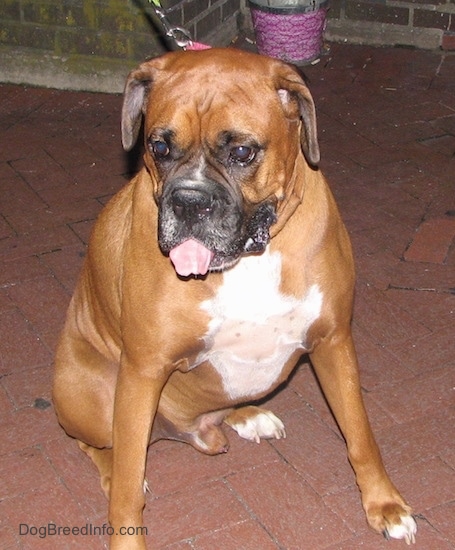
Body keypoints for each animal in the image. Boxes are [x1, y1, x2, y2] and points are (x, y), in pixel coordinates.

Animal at [52, 49, 416, 548]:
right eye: (158, 147)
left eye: (242, 152)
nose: (189, 202)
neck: (249, 259)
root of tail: (189, 433)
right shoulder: (143, 371)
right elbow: (126, 490)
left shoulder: (334, 342)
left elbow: (360, 434)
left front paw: (384, 502)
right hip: (95, 393)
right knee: (102, 448)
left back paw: (246, 415)